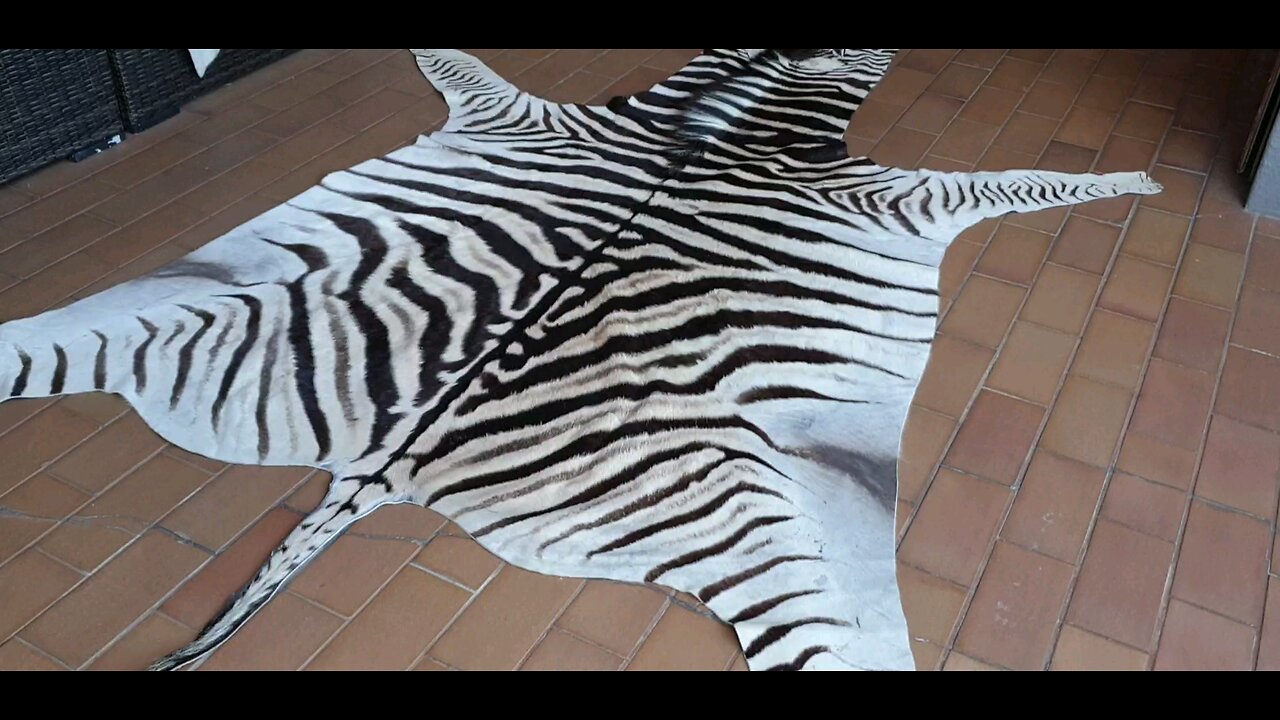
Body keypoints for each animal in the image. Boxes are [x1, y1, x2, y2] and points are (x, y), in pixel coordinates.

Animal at [0, 49, 1161, 671]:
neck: (729, 116)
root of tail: (392, 466)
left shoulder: (519, 113)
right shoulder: (891, 195)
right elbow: (1018, 183)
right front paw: (1136, 183)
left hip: (191, 307)